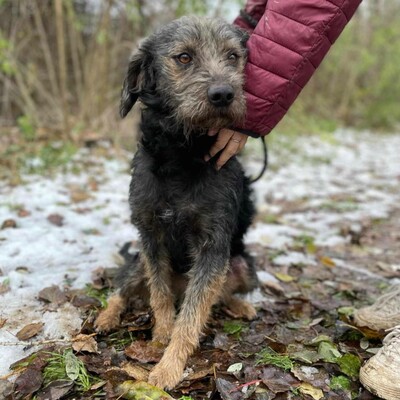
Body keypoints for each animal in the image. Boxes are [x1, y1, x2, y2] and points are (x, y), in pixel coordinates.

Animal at [95, 16, 260, 390]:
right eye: (184, 57)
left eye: (233, 56)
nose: (224, 94)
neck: (182, 154)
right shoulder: (150, 237)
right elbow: (159, 296)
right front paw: (159, 339)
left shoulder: (213, 246)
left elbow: (192, 316)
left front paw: (168, 367)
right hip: (138, 261)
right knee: (123, 290)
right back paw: (107, 316)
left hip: (242, 266)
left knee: (216, 294)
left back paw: (239, 306)